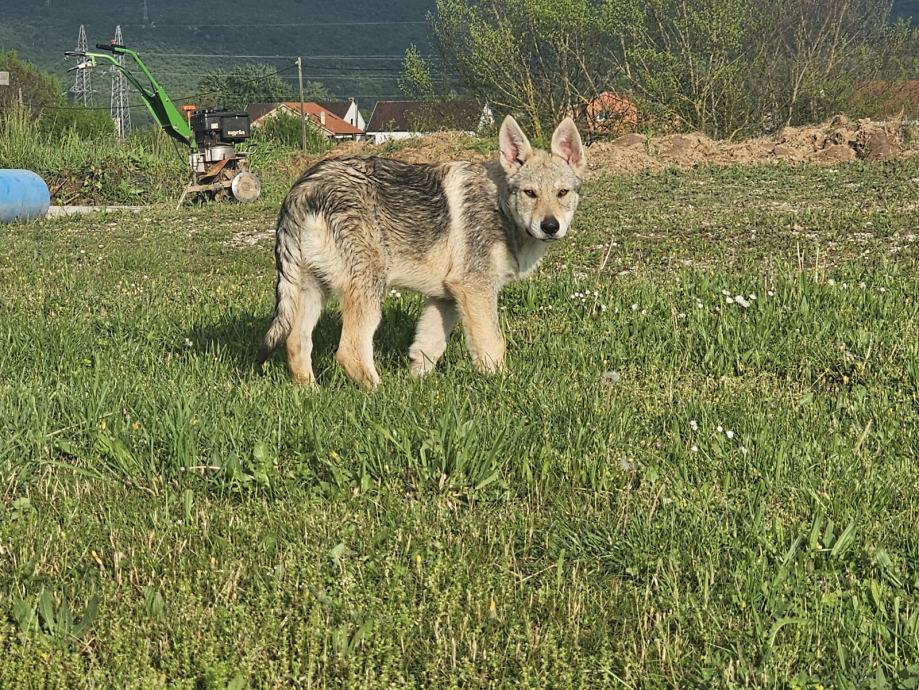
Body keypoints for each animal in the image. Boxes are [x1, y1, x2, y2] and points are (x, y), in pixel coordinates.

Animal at [256, 115, 587, 389]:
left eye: (562, 193)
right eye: (530, 193)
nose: (550, 226)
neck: (501, 206)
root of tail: (302, 188)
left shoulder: (446, 297)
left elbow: (426, 349)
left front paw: (418, 387)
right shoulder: (476, 290)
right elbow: (492, 347)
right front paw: (503, 387)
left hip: (313, 291)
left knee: (296, 344)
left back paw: (311, 393)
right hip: (369, 290)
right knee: (350, 352)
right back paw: (384, 395)